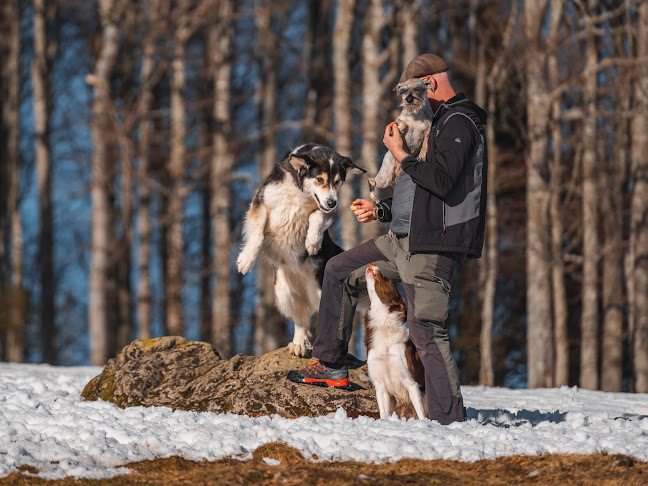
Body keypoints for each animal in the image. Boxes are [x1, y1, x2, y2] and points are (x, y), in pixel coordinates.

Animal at [235, 144, 364, 356]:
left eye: (338, 182)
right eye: (320, 179)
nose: (332, 202)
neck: (300, 191)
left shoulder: (323, 212)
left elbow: (316, 217)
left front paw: (312, 242)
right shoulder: (261, 203)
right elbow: (257, 234)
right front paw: (246, 260)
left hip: (320, 291)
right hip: (284, 292)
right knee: (301, 319)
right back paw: (299, 344)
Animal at [362, 264, 428, 420]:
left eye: (387, 279)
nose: (372, 263)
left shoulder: (411, 382)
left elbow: (421, 413)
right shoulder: (380, 384)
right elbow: (383, 414)